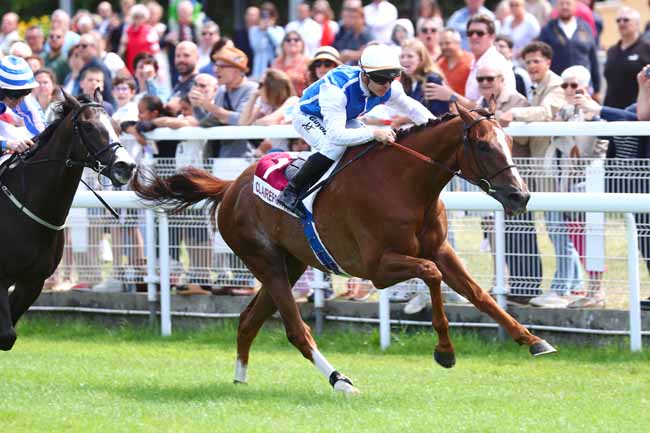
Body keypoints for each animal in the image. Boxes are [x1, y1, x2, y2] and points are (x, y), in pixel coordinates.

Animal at [0, 89, 135, 350]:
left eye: (116, 126)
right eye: (88, 126)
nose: (126, 166)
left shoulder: (33, 281)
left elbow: (8, 337)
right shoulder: (1, 278)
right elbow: (6, 335)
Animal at [130, 105, 552, 394]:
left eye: (510, 143)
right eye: (482, 144)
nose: (520, 195)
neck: (405, 185)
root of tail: (231, 186)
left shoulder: (440, 250)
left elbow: (480, 294)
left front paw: (533, 340)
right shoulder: (377, 268)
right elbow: (431, 276)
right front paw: (445, 351)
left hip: (291, 264)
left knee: (249, 320)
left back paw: (240, 378)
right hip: (266, 262)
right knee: (296, 331)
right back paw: (340, 380)